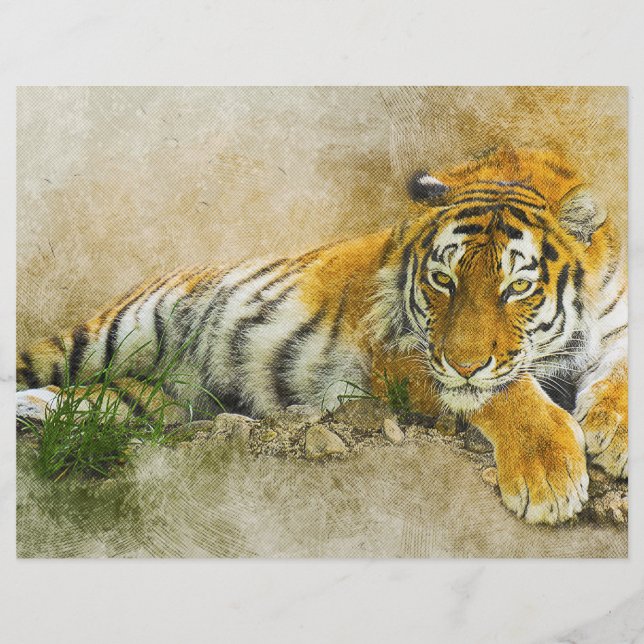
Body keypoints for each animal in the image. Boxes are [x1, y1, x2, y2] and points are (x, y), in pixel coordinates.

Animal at [16, 147, 628, 525]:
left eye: (517, 287)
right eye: (443, 280)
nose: (464, 363)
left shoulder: (618, 321)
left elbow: (618, 370)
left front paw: (615, 435)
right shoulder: (402, 353)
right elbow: (506, 392)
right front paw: (549, 477)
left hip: (156, 400)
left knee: (89, 402)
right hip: (111, 334)